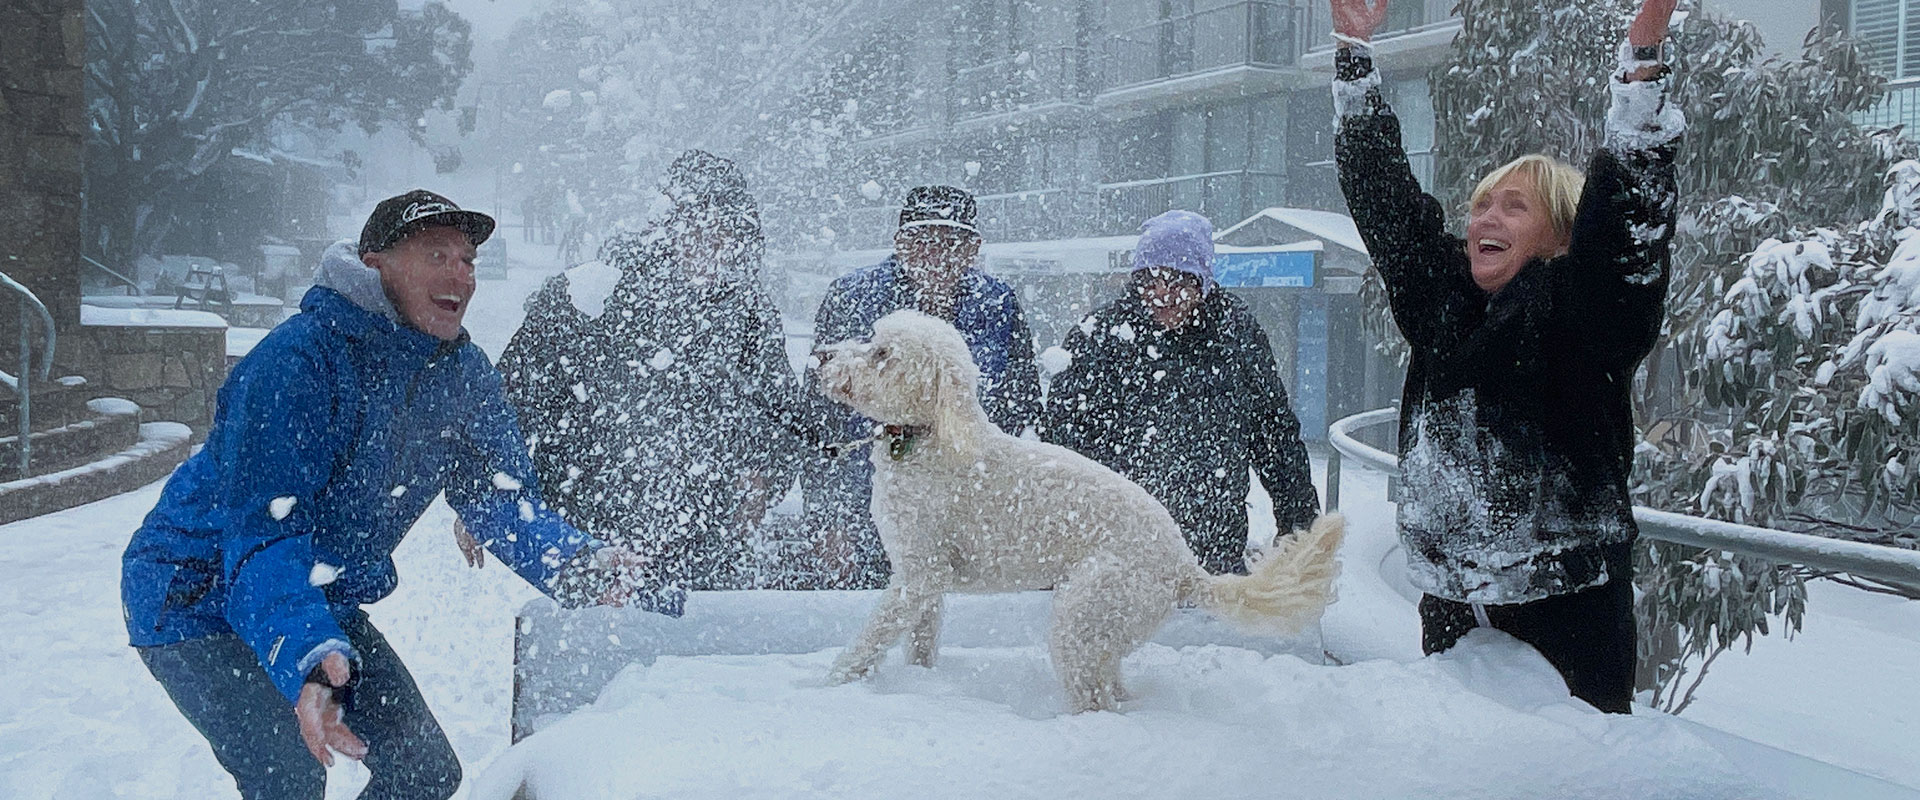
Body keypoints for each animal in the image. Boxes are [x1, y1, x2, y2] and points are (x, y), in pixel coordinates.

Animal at [817, 306, 1344, 709]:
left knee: (1092, 700)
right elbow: (921, 641)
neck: (928, 437)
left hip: (1086, 609)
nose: (822, 354)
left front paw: (833, 682)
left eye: (882, 353)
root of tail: (1184, 568)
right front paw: (922, 682)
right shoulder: (928, 580)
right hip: (1105, 630)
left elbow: (870, 638)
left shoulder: (916, 574)